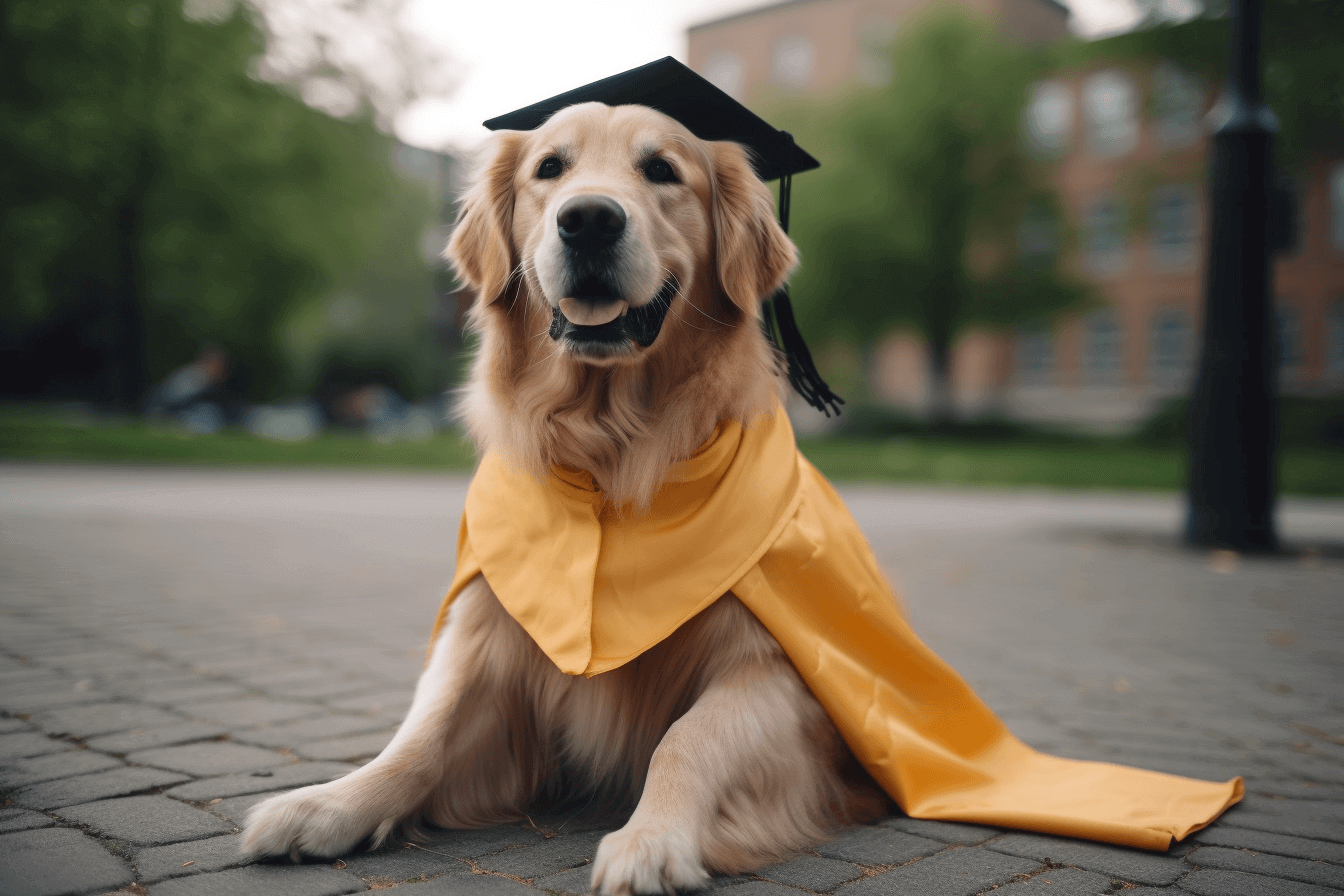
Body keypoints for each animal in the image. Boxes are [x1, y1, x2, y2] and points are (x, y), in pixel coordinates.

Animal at [241, 101, 892, 891]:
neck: (608, 456)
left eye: (662, 169)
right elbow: (422, 733)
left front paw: (651, 839)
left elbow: (689, 736)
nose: (588, 220)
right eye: (550, 168)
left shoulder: (779, 673)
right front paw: (332, 802)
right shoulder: (490, 639)